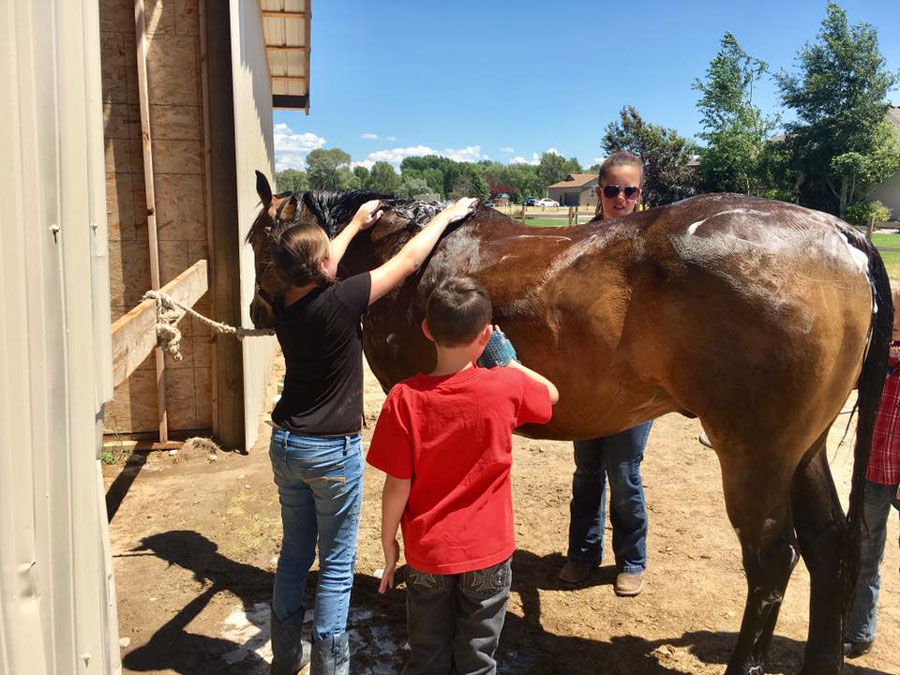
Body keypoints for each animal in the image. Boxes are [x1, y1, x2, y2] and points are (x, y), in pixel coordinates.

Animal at [247, 171, 892, 675]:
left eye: (255, 239)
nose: (258, 311)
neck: (410, 256)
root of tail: (839, 234)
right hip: (801, 451)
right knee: (828, 544)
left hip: (755, 455)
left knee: (772, 559)